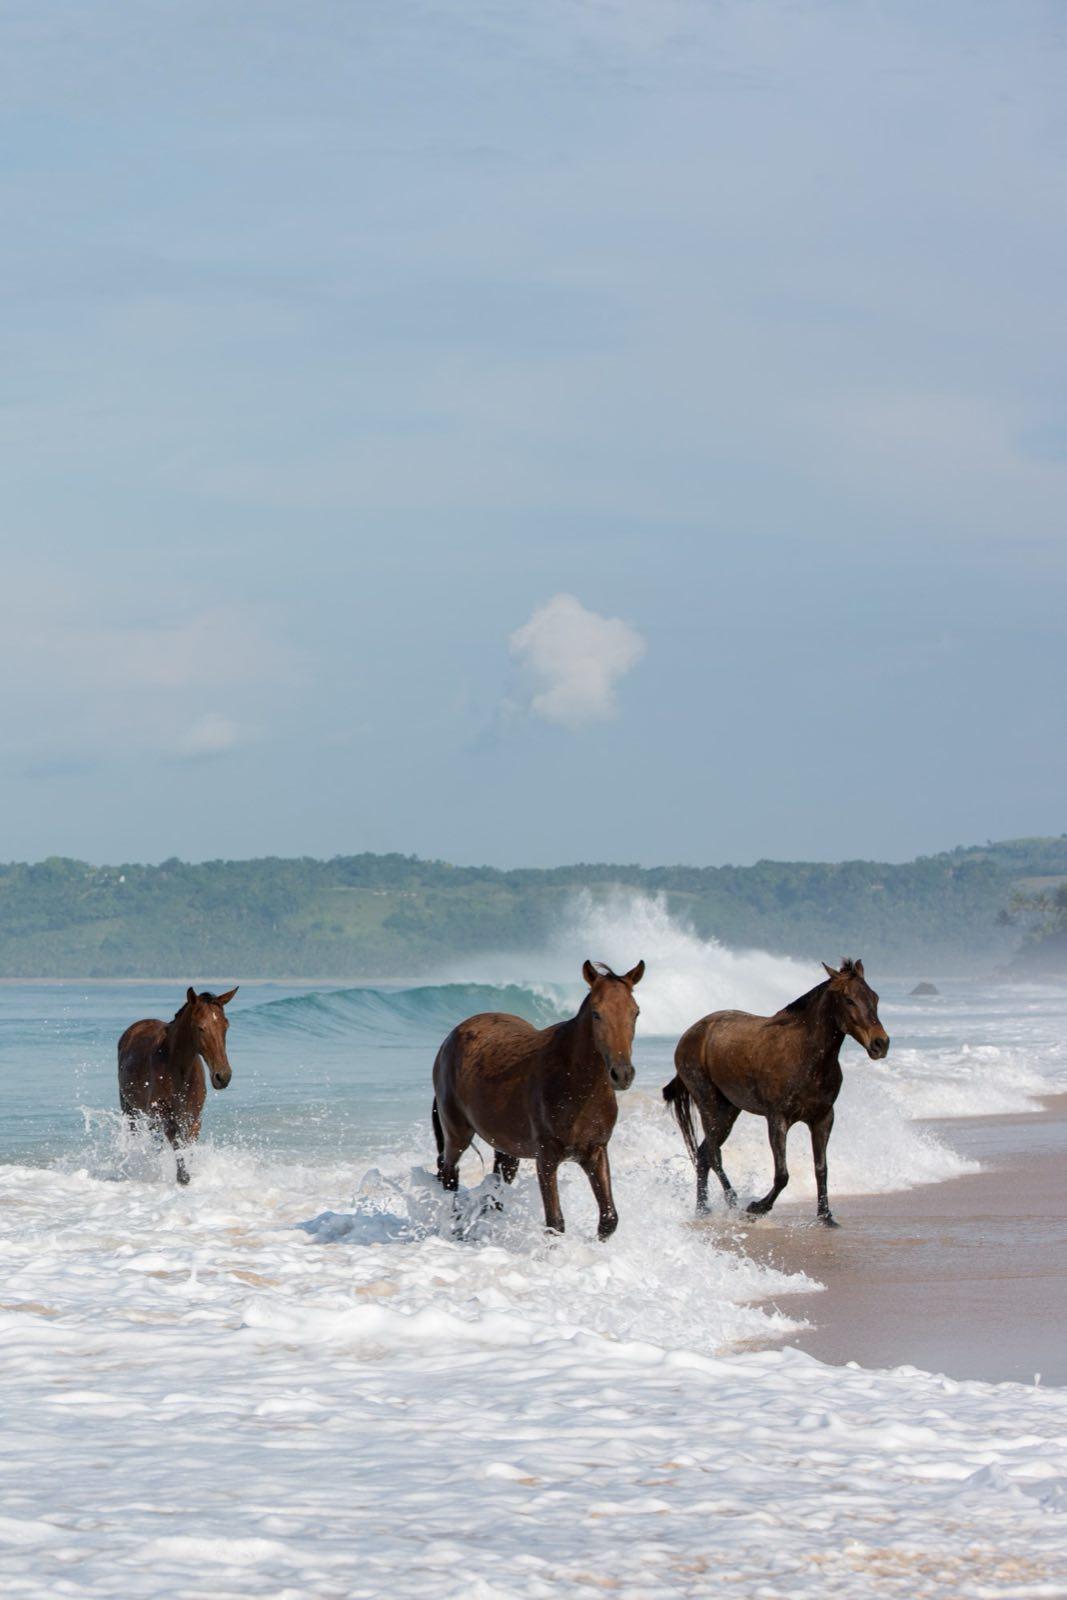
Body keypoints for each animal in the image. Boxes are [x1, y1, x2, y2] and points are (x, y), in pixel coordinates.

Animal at [118, 986, 238, 1184]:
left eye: (225, 1026)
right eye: (200, 1027)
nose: (223, 1076)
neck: (178, 1068)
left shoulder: (193, 1116)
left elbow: (188, 1142)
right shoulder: (162, 1113)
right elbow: (176, 1141)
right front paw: (182, 1177)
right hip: (130, 1108)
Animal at [432, 959, 644, 1240]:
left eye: (635, 1012)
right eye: (597, 1013)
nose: (622, 1074)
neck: (576, 1085)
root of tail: (450, 1038)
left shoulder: (596, 1152)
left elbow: (608, 1220)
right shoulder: (546, 1157)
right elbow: (555, 1223)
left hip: (506, 1147)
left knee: (495, 1187)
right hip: (457, 1133)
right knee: (449, 1174)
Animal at [662, 959, 889, 1226]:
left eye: (874, 997)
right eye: (849, 1000)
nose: (880, 1044)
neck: (806, 1055)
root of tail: (690, 1034)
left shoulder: (823, 1118)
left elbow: (821, 1168)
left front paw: (826, 1217)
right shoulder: (777, 1119)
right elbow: (782, 1175)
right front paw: (757, 1207)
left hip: (729, 1111)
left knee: (704, 1154)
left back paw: (703, 1211)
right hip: (708, 1104)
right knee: (713, 1155)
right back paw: (733, 1204)